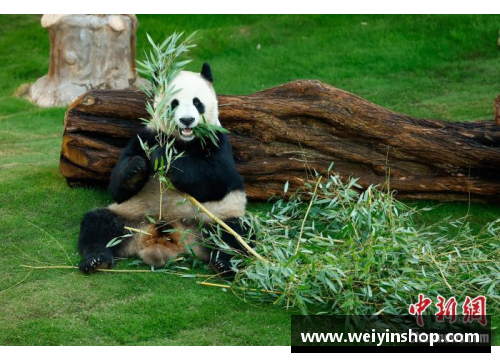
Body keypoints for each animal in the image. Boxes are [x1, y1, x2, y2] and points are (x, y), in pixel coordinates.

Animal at [78, 63, 252, 276]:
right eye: (174, 103)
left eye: (197, 102)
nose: (187, 120)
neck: (182, 141)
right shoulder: (146, 136)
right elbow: (117, 187)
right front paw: (136, 167)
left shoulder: (217, 140)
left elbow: (217, 178)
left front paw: (162, 158)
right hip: (130, 218)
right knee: (98, 225)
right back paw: (96, 260)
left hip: (215, 218)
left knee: (234, 234)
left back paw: (224, 264)